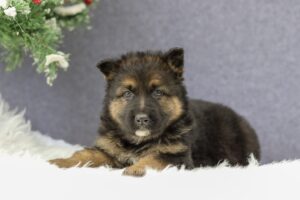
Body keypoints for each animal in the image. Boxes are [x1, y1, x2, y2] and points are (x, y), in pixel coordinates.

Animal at [49, 48, 260, 177]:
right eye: (127, 93)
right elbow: (86, 155)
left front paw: (134, 169)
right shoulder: (109, 150)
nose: (142, 120)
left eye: (157, 92)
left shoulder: (176, 156)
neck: (139, 141)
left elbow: (153, 158)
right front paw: (60, 161)